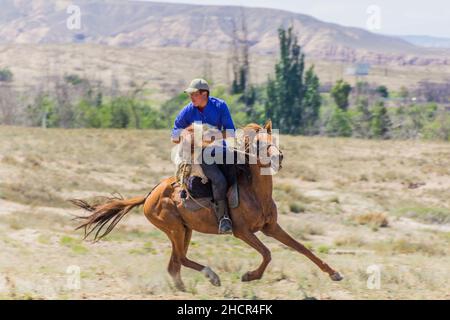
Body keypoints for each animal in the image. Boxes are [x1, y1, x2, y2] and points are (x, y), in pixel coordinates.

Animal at [72, 120, 342, 290]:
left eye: (273, 138)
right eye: (257, 143)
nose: (279, 157)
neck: (255, 192)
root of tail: (150, 195)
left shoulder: (271, 228)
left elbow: (302, 248)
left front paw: (333, 273)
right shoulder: (242, 232)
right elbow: (267, 253)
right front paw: (249, 276)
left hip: (185, 230)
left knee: (175, 264)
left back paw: (183, 287)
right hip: (175, 229)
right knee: (181, 259)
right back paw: (211, 276)